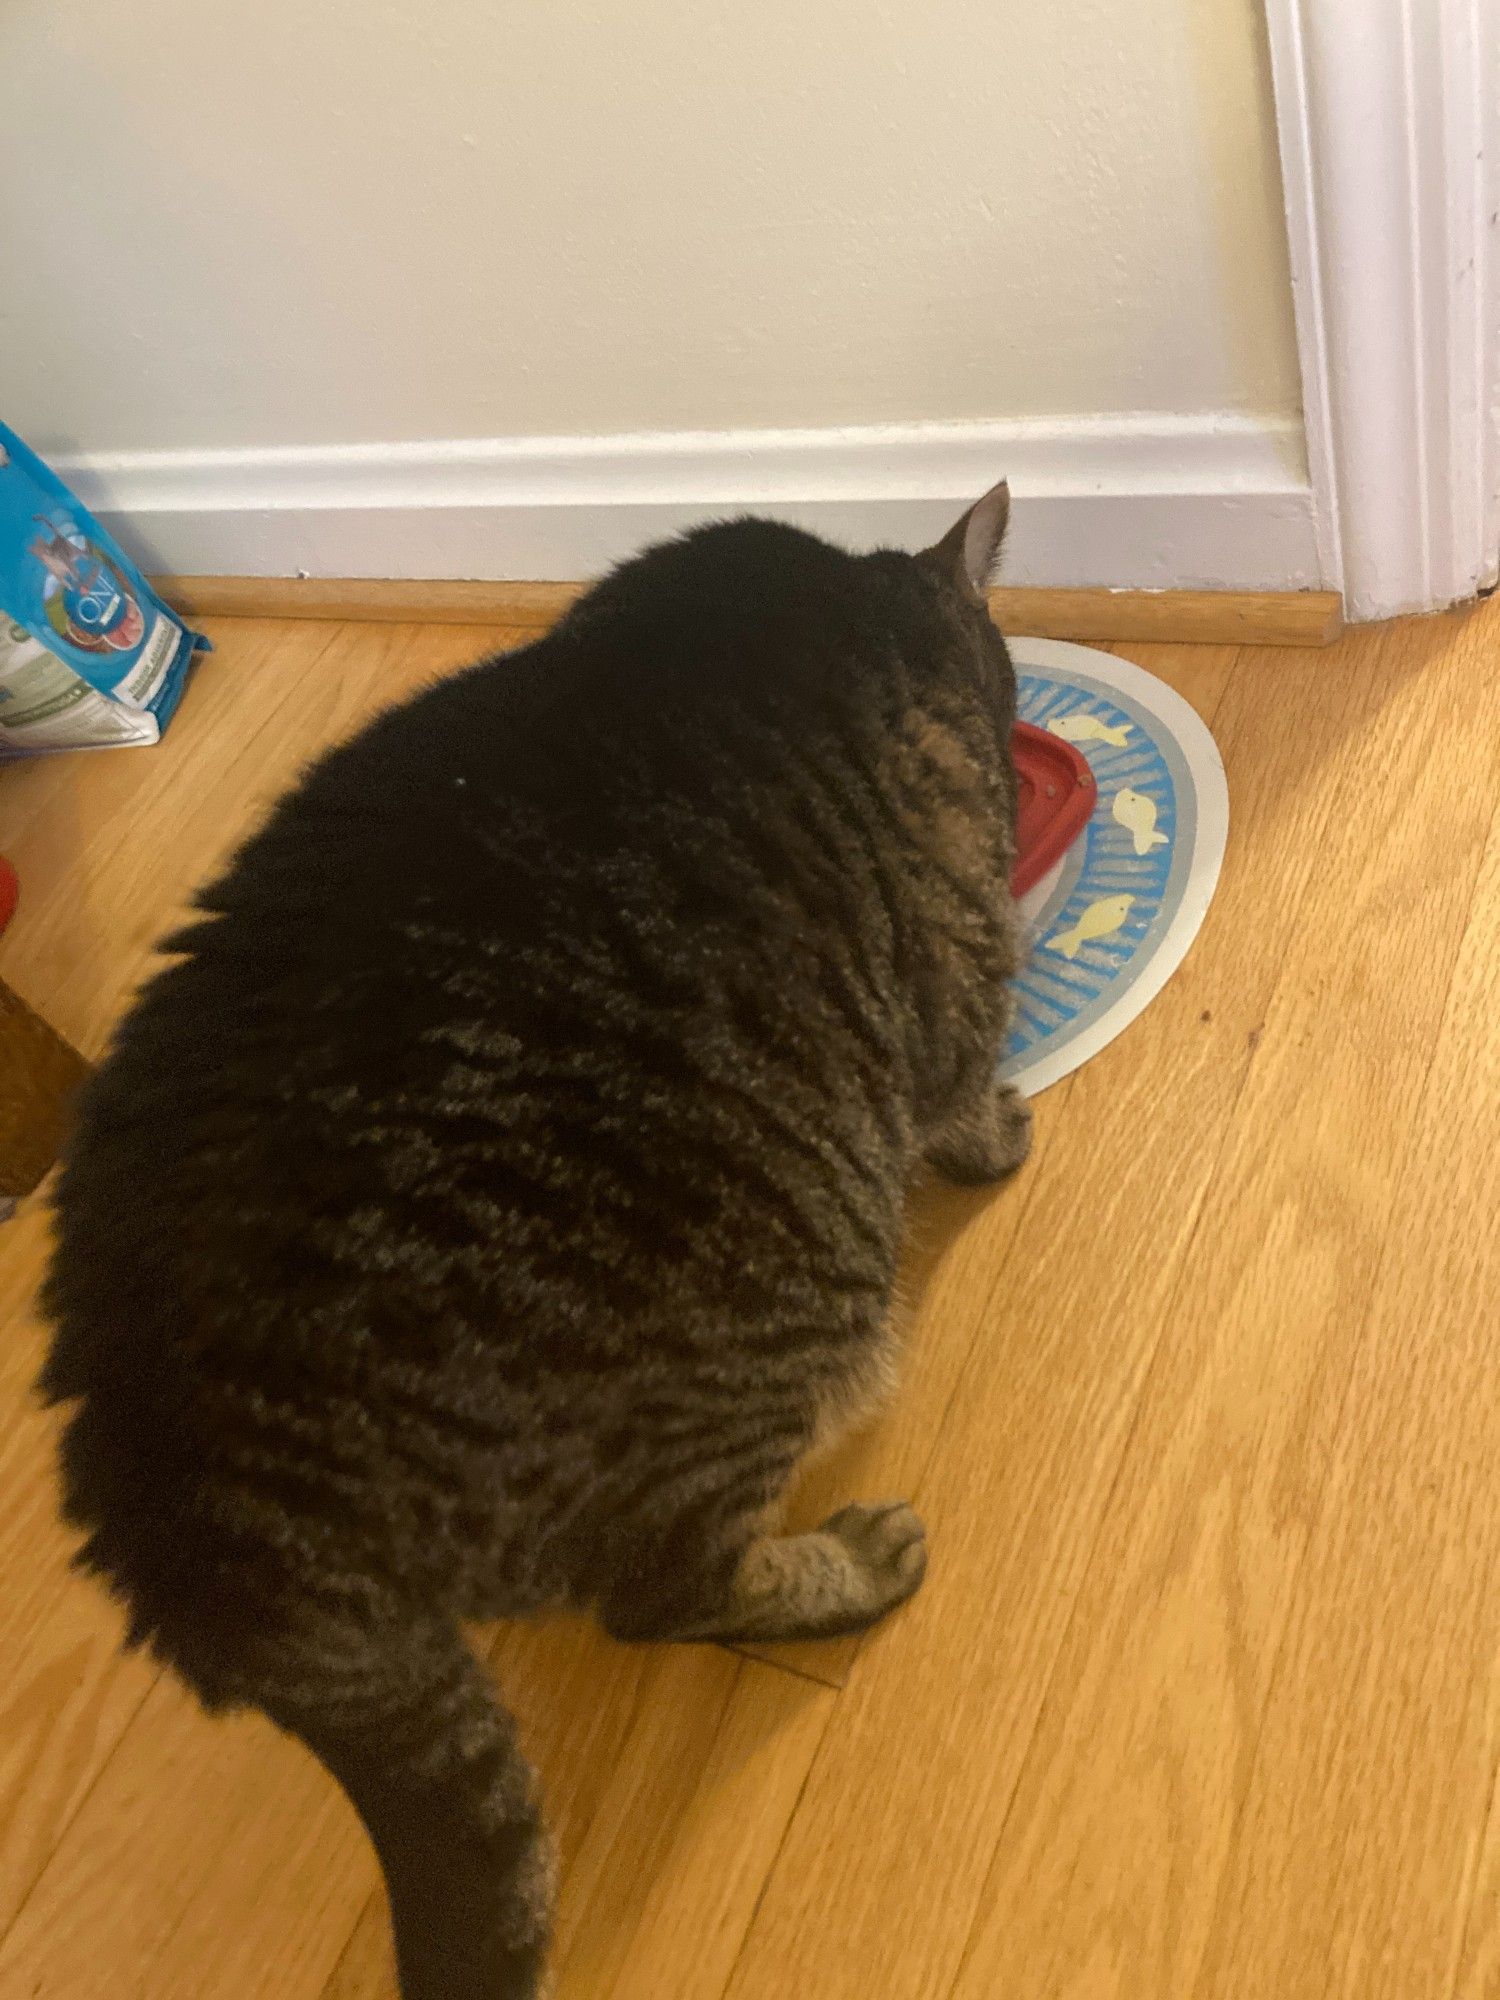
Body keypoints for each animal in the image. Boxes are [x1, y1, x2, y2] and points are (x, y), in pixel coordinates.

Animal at [44, 484, 1032, 2000]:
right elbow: (966, 1096)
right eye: (1013, 683)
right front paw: (1004, 1130)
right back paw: (851, 1565)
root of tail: (198, 1522)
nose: (1028, 764)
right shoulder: (955, 973)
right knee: (665, 1591)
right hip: (778, 1318)